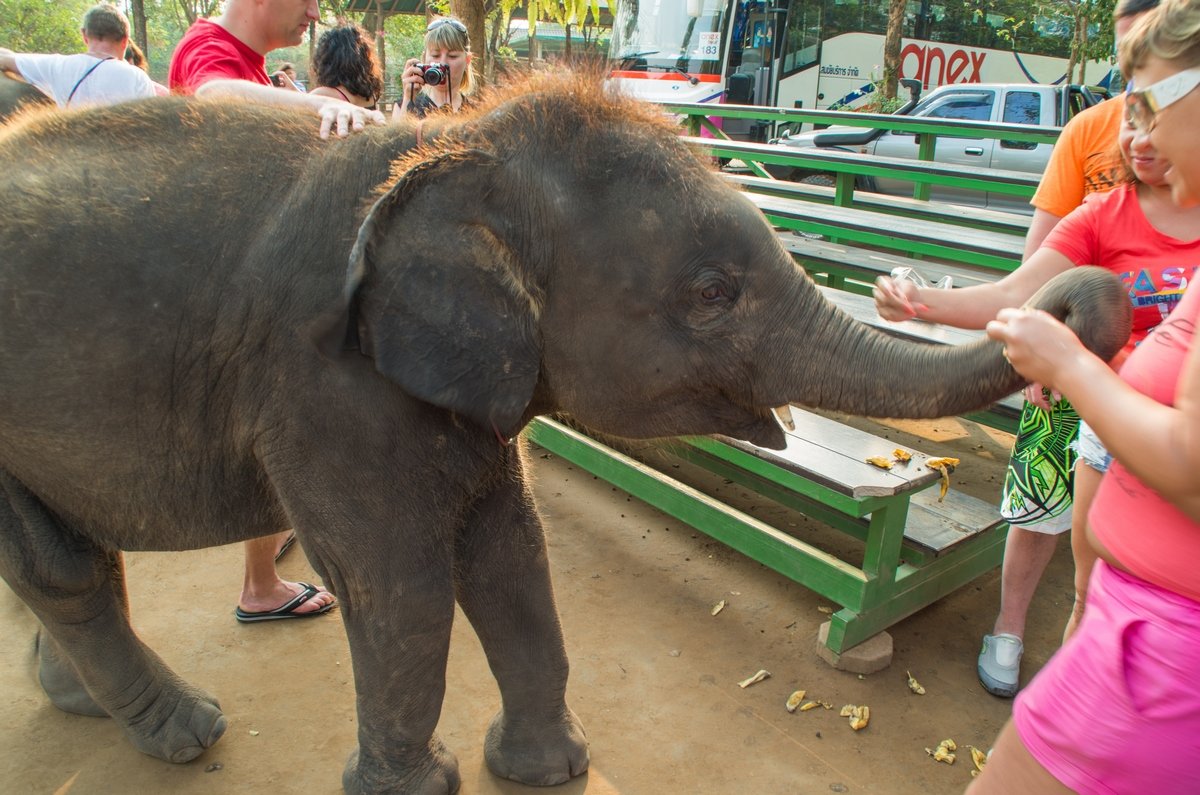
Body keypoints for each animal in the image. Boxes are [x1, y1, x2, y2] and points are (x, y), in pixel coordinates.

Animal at [0, 71, 1128, 792]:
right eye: (710, 293)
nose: (1089, 298)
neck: (454, 143)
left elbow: (513, 551)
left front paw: (548, 772)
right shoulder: (323, 379)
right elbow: (402, 582)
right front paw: (425, 786)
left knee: (63, 560)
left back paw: (84, 703)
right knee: (66, 571)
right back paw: (186, 734)